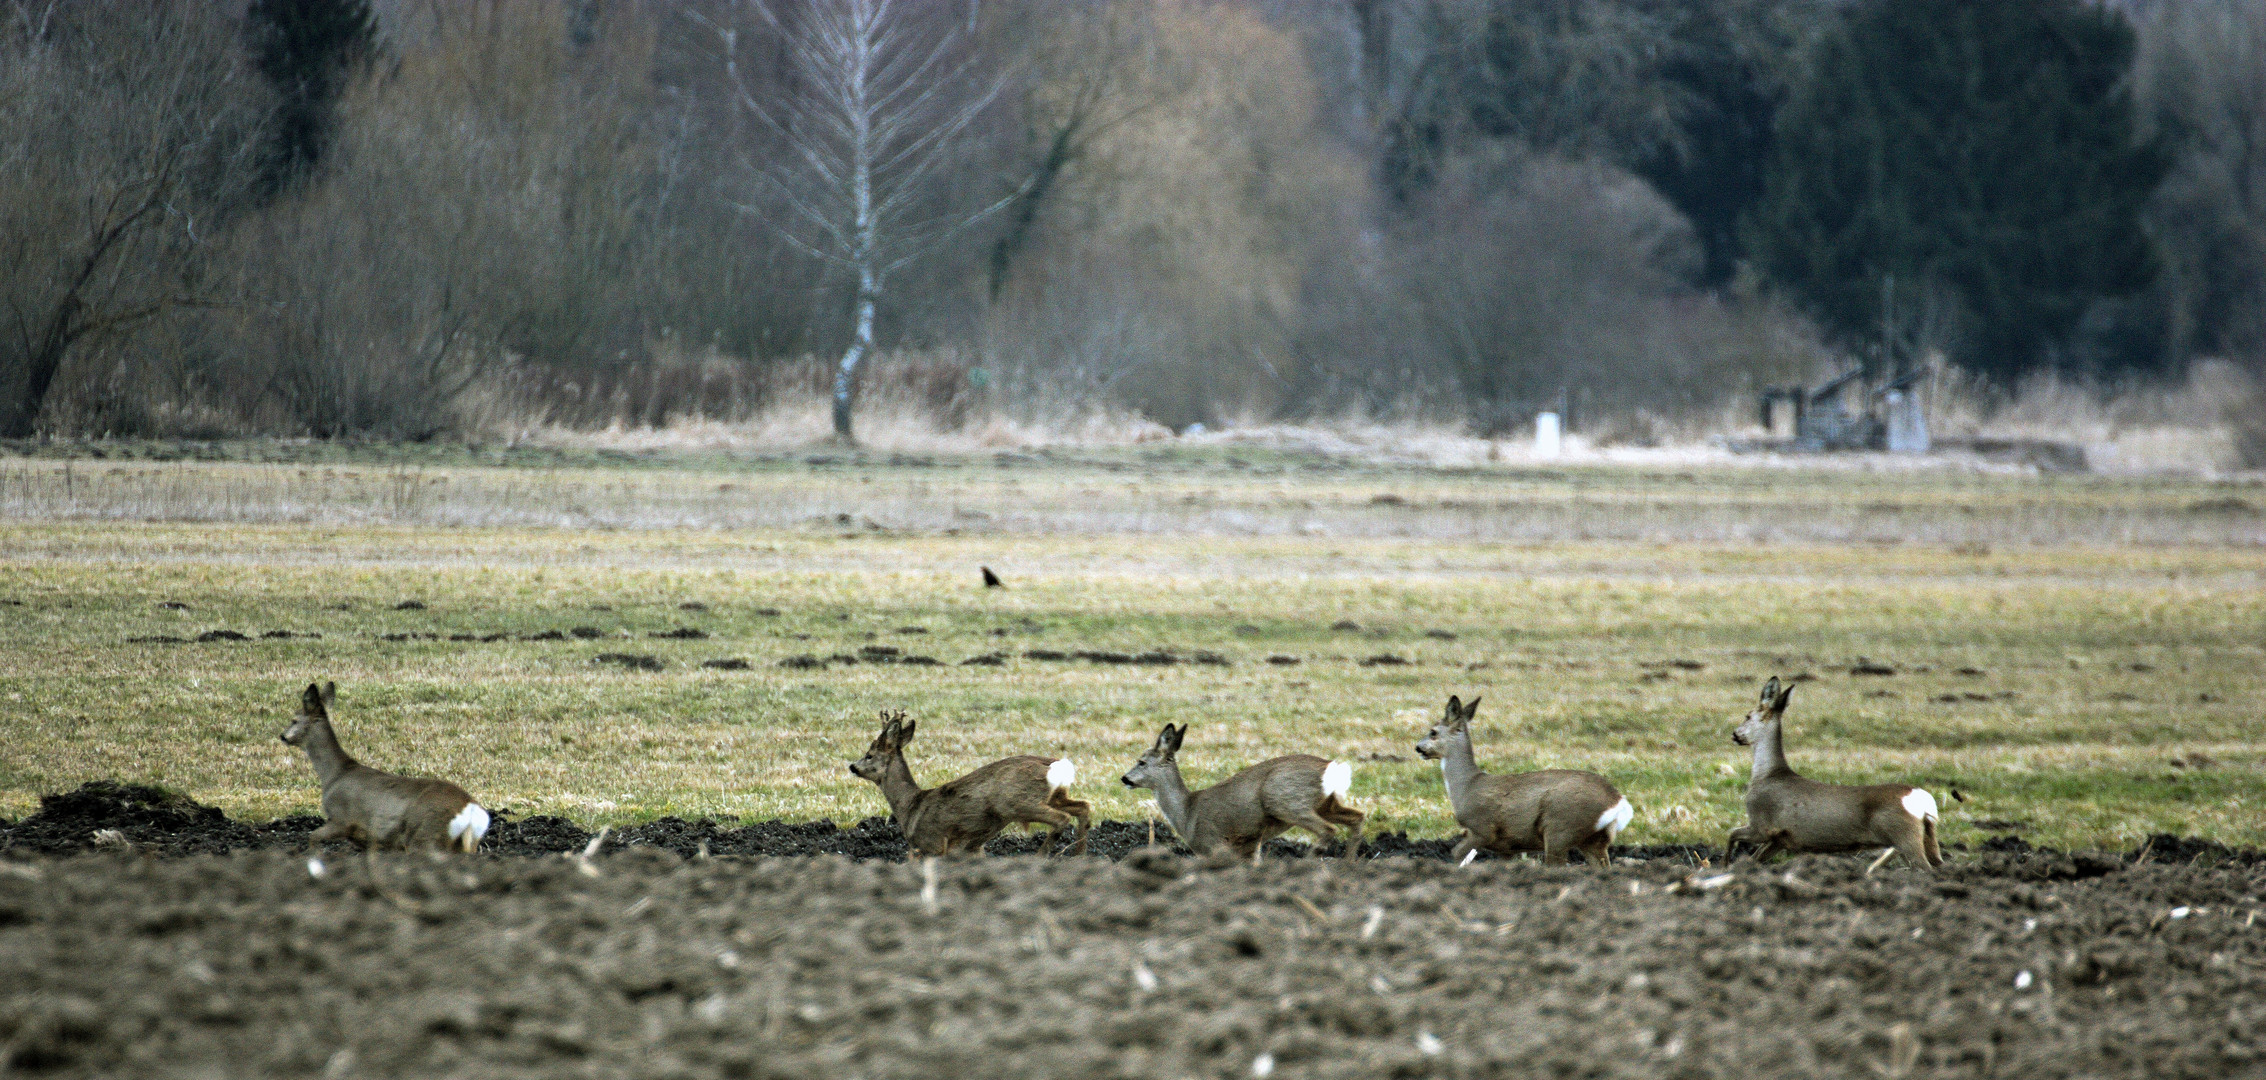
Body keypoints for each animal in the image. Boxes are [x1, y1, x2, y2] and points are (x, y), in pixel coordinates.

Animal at [277, 683, 487, 851]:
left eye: (294, 720)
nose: (282, 736)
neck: (335, 774)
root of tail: (470, 809)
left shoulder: (342, 819)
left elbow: (313, 837)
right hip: (464, 844)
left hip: (426, 836)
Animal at [852, 710, 1096, 855]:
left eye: (869, 755)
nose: (852, 766)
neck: (909, 808)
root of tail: (1056, 765)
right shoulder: (970, 847)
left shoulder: (931, 843)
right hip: (1055, 795)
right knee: (1083, 807)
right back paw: (1079, 857)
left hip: (1016, 802)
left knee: (1061, 818)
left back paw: (1041, 858)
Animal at [1114, 720, 1359, 864]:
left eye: (1141, 761)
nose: (1124, 778)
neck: (1187, 813)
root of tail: (1331, 768)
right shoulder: (1248, 846)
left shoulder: (1211, 842)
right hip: (1326, 804)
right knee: (1357, 817)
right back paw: (1349, 865)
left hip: (1285, 800)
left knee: (1328, 829)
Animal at [1413, 692, 1631, 864]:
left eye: (1433, 732)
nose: (1418, 748)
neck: (1466, 785)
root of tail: (1617, 801)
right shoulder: (1506, 848)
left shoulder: (1481, 828)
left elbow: (1455, 853)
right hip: (1594, 841)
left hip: (1560, 829)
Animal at [1722, 679, 1939, 869]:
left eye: (1747, 716)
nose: (1734, 735)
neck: (1767, 774)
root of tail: (1923, 800)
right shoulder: (1781, 839)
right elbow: (1755, 857)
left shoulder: (1761, 825)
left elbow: (1731, 834)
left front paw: (1725, 866)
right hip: (1926, 836)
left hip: (1903, 835)